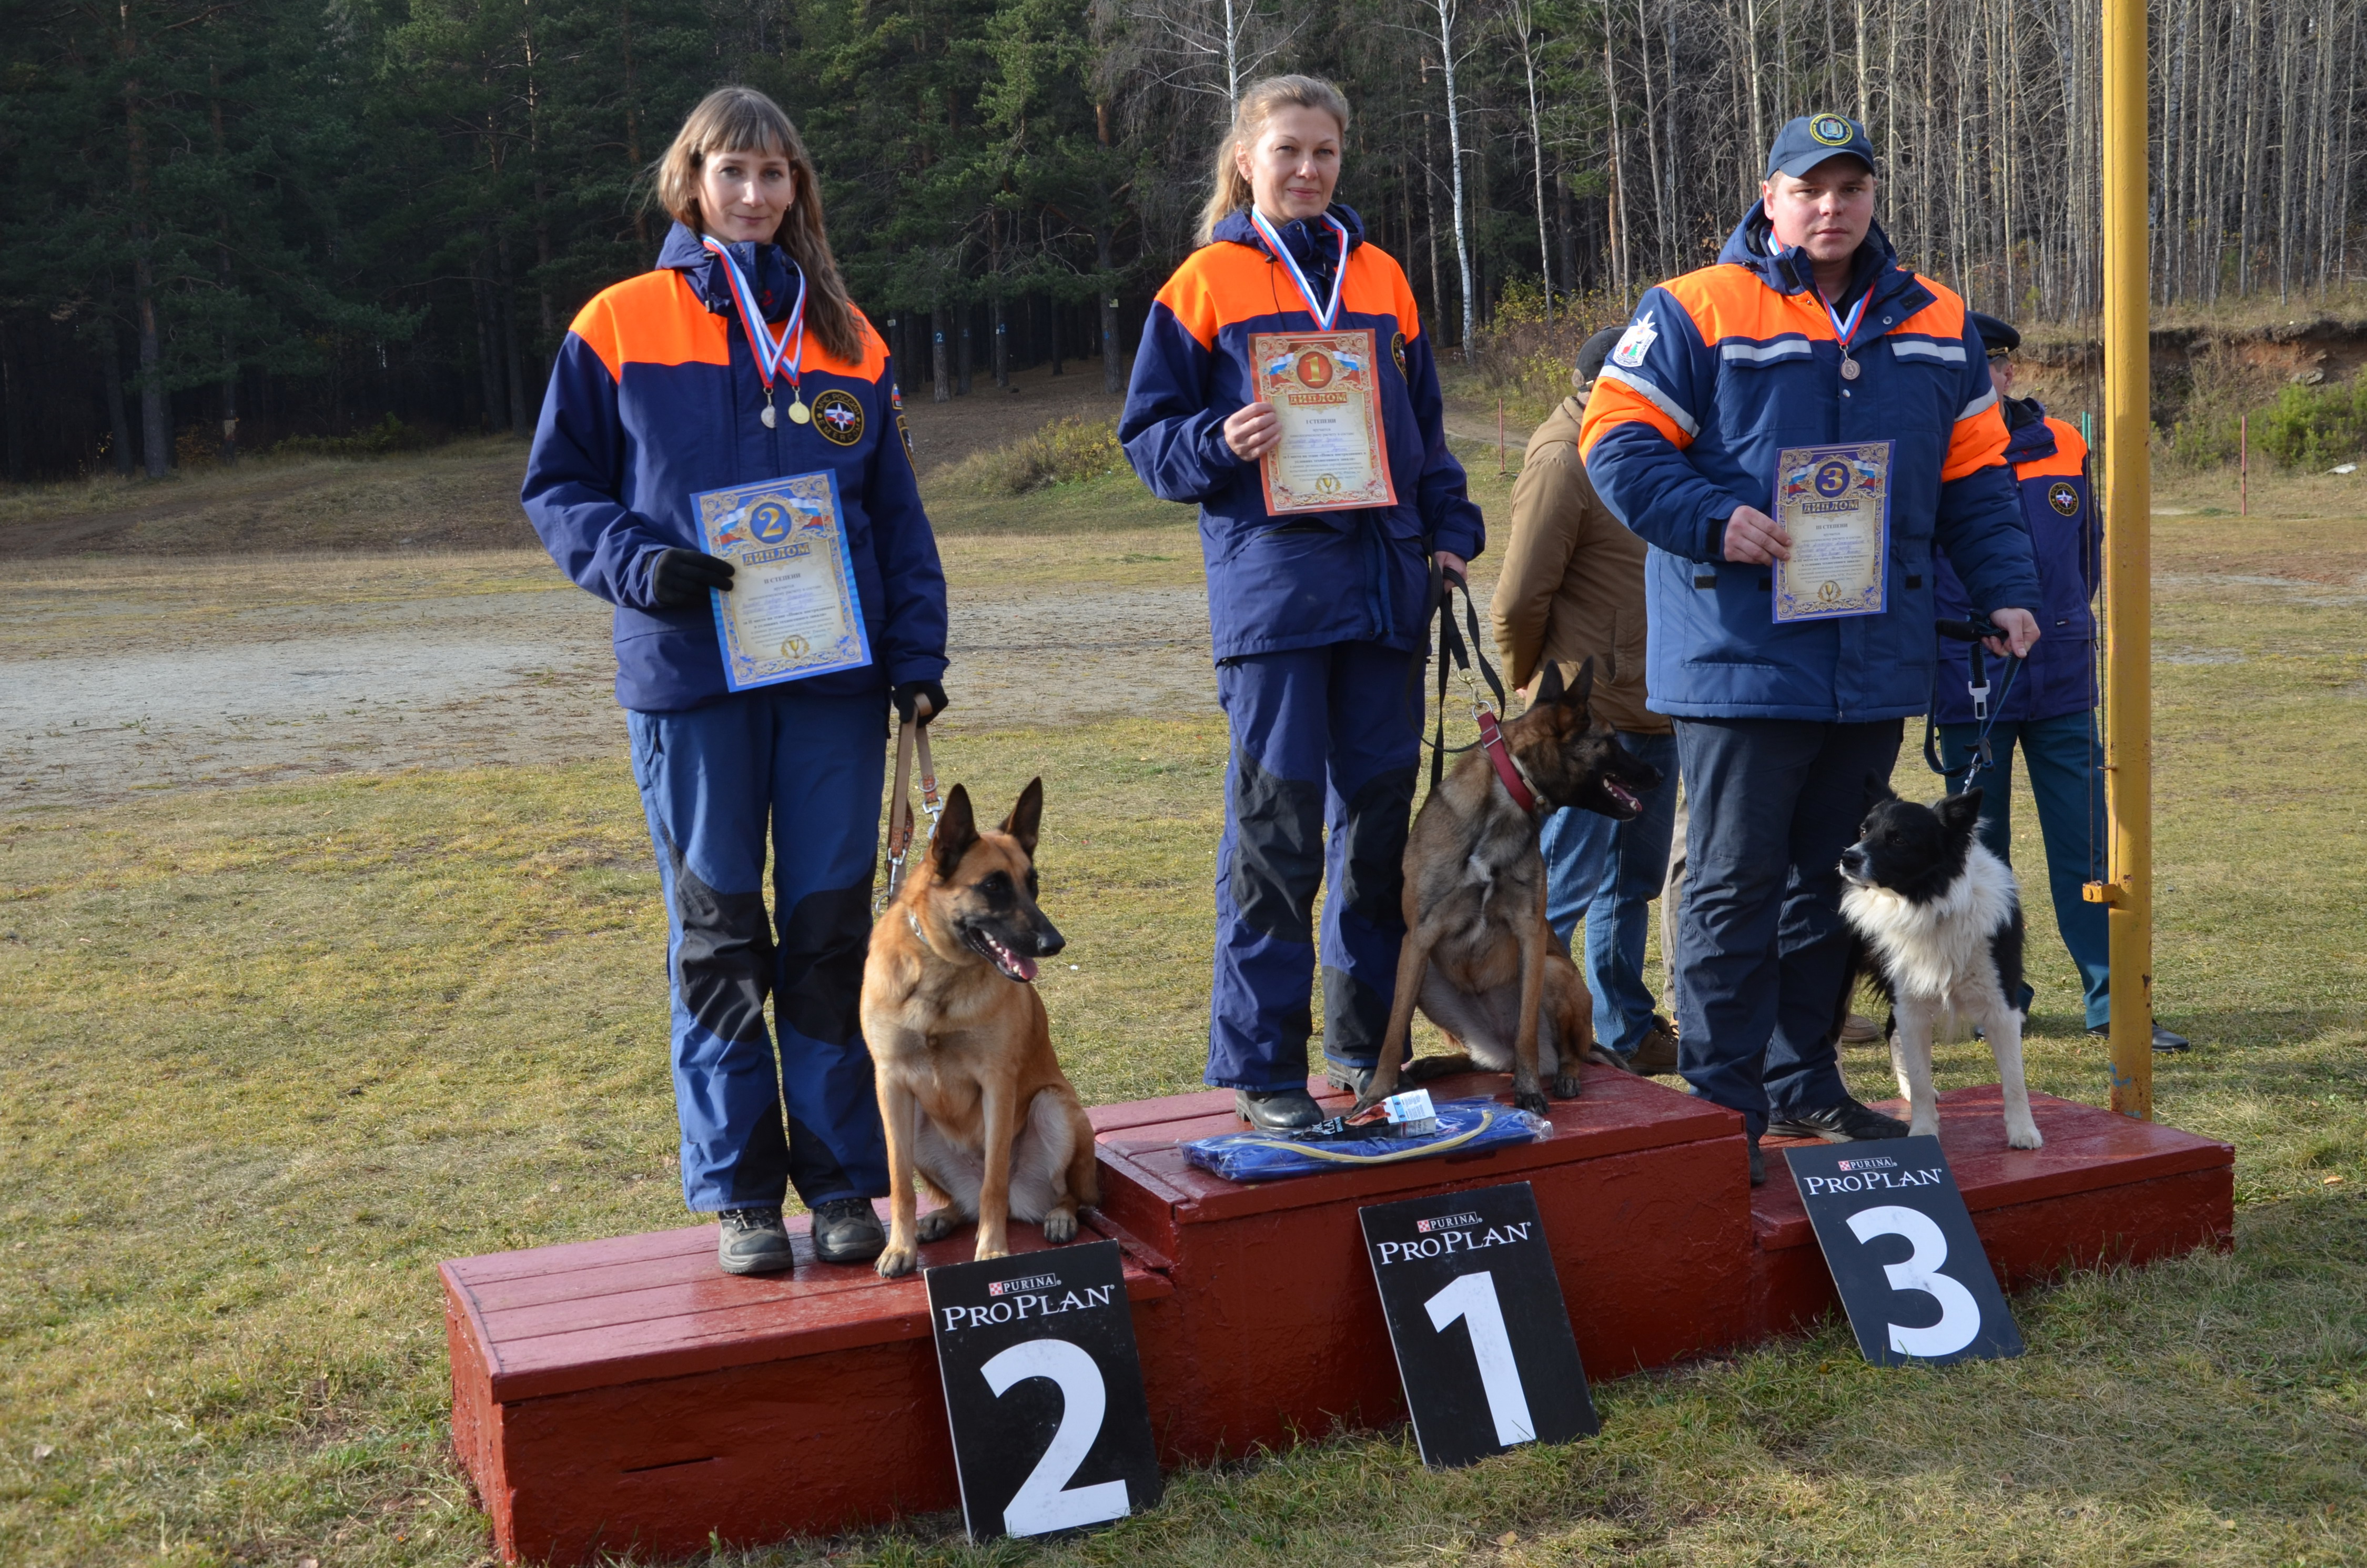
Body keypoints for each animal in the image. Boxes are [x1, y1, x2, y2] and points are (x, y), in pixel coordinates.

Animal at [862, 781, 1098, 1288]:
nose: (1055, 944)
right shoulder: (891, 1085)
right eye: (993, 886)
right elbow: (899, 1183)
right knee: (962, 1202)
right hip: (917, 1122)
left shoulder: (997, 1085)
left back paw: (1058, 1216)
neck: (939, 975)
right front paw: (900, 1248)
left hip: (1055, 1106)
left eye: (1033, 884)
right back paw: (942, 1217)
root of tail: (1025, 1203)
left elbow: (993, 1182)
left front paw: (992, 1252)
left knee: (1062, 1192)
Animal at [1354, 658, 1666, 1122]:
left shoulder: (1530, 935)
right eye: (1612, 741)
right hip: (1427, 974)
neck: (1505, 803)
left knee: (1565, 1053)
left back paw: (1562, 1076)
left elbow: (1526, 1036)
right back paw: (1441, 1063)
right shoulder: (1418, 939)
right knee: (1480, 1058)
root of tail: (1494, 1048)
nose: (1659, 774)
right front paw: (1377, 1093)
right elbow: (1393, 1031)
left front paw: (1529, 1090)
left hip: (1556, 973)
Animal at [1837, 786, 2045, 1156]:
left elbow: (2014, 1078)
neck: (1928, 903)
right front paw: (1922, 1132)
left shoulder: (2002, 1004)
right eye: (1863, 831)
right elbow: (1921, 1075)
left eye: (1898, 839)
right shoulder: (1910, 1003)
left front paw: (2024, 1132)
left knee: (1891, 1034)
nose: (1847, 858)